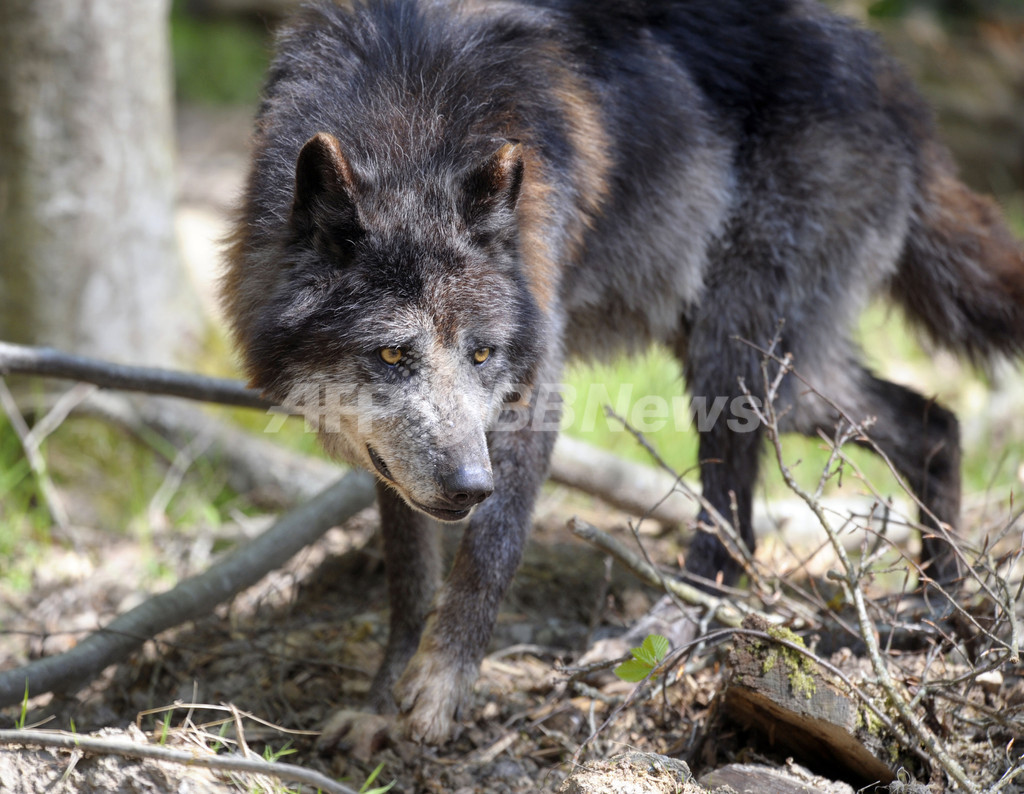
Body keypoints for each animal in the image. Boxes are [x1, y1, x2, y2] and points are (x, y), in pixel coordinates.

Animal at [218, 0, 1024, 745]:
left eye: (481, 354)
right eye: (391, 355)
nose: (471, 486)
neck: (409, 118)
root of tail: (895, 84)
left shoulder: (534, 390)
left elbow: (492, 549)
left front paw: (443, 684)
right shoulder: (396, 461)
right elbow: (410, 581)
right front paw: (382, 703)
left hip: (744, 373)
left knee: (734, 534)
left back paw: (663, 643)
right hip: (765, 370)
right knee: (935, 423)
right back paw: (937, 608)